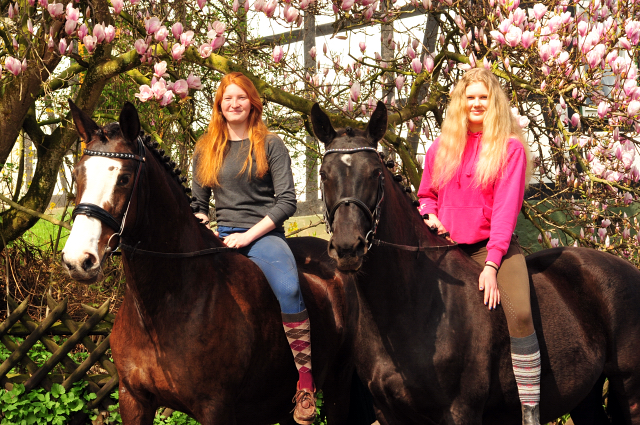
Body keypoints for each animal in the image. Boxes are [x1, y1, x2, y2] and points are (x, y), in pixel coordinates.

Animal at [310, 101, 640, 422]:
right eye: (324, 174)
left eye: (375, 173)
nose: (348, 247)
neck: (411, 305)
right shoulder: (388, 413)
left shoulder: (461, 411)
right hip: (585, 396)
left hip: (628, 389)